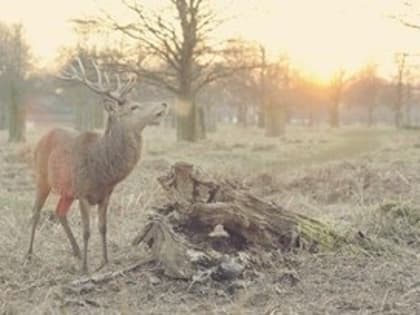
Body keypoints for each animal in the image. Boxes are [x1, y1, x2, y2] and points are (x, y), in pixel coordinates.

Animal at [25, 58, 167, 274]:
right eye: (134, 107)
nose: (164, 103)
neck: (102, 169)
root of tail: (43, 136)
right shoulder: (82, 192)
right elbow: (86, 230)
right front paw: (85, 268)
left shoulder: (105, 194)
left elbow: (103, 227)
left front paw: (105, 261)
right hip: (42, 177)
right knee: (35, 212)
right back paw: (29, 254)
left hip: (67, 191)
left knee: (60, 212)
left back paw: (76, 252)